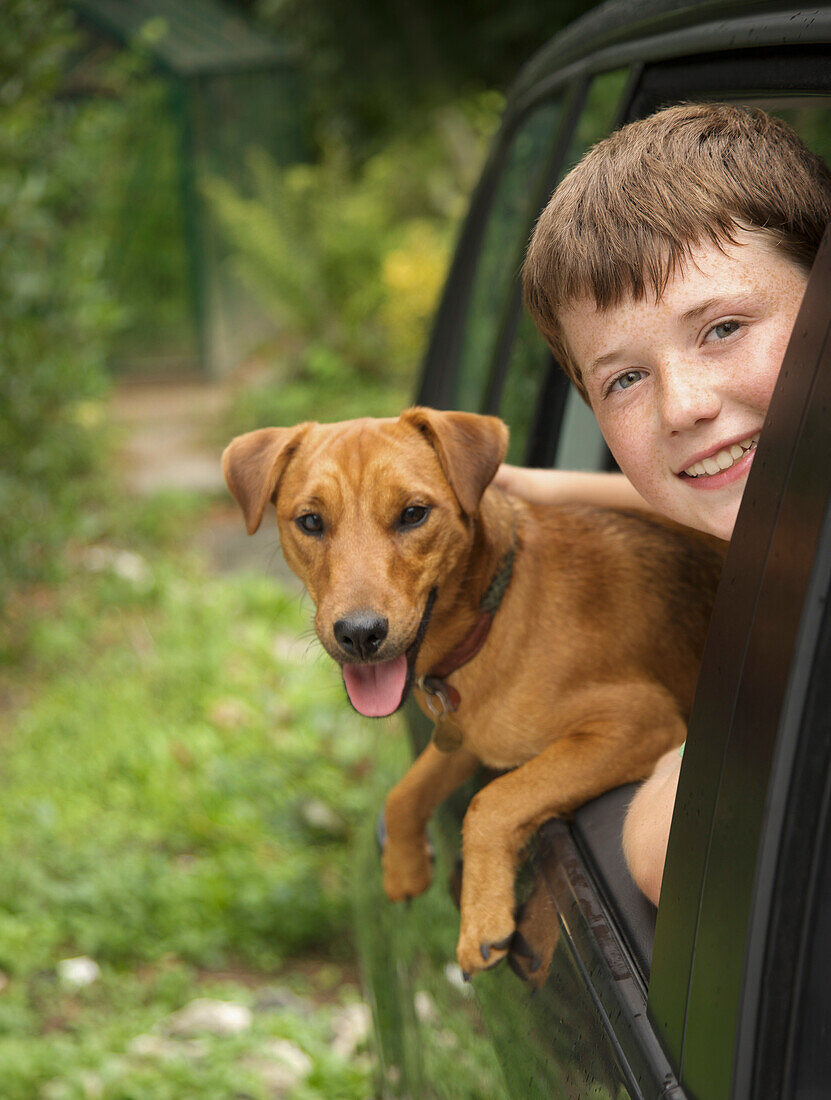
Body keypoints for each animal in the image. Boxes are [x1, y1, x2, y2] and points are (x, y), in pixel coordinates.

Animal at [224, 409, 726, 976]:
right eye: (311, 522)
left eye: (413, 514)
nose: (359, 635)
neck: (495, 612)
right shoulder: (466, 734)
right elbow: (404, 795)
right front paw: (404, 868)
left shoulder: (639, 721)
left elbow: (493, 801)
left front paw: (481, 917)